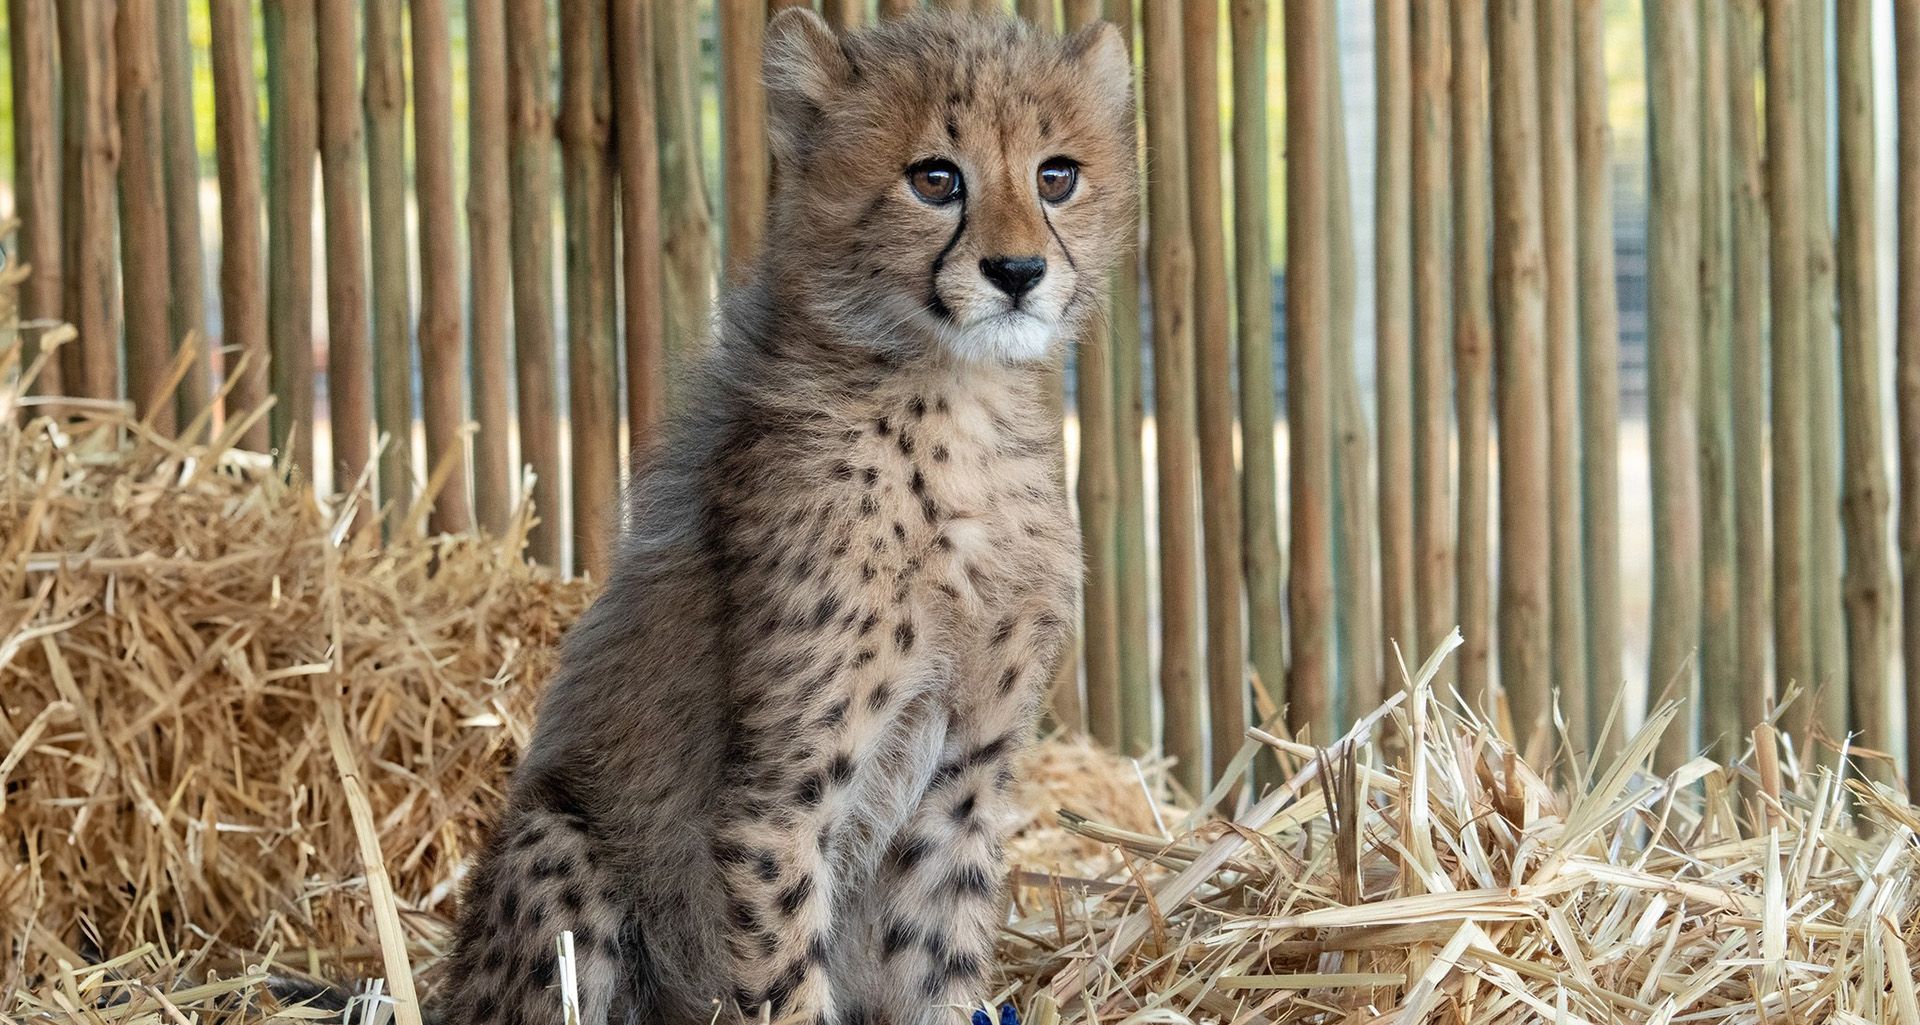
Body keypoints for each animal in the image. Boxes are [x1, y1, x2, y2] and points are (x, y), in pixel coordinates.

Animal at [436, 10, 1136, 1025]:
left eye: (1057, 175)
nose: (1017, 270)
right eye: (935, 178)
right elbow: (785, 976)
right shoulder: (779, 799)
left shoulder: (961, 782)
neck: (955, 406)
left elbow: (940, 960)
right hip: (558, 846)